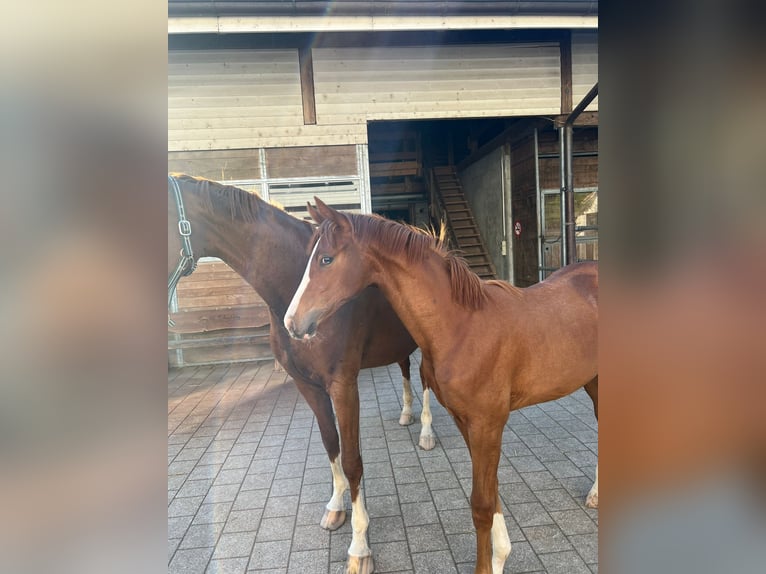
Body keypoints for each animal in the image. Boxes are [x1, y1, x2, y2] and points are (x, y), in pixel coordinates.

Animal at [168, 176, 438, 574]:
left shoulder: (343, 386)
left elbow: (353, 460)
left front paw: (359, 546)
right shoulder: (307, 385)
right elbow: (331, 445)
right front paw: (335, 508)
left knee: (425, 381)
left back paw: (426, 433)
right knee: (405, 370)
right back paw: (406, 415)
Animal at [286, 199, 600, 574]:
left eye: (326, 259)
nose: (292, 322)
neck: (461, 325)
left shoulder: (487, 424)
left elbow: (481, 505)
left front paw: (488, 565)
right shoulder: (466, 422)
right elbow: (491, 493)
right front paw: (500, 556)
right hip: (595, 383)